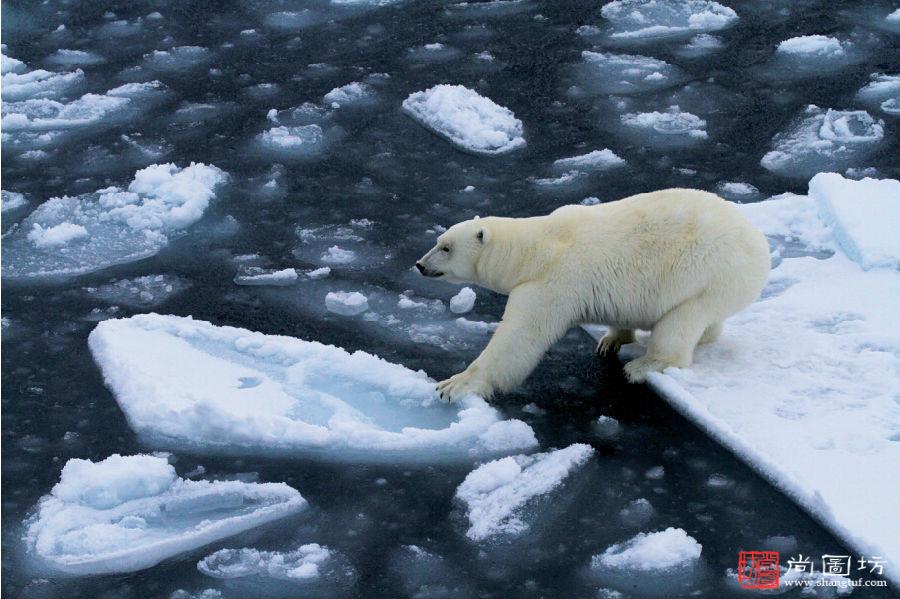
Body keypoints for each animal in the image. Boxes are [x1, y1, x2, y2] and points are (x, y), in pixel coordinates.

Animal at [418, 189, 768, 404]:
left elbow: (518, 338)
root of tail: (760, 244)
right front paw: (611, 339)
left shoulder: (552, 284)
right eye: (438, 240)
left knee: (683, 319)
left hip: (712, 272)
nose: (420, 265)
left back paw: (645, 364)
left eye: (446, 247)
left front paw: (455, 384)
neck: (534, 248)